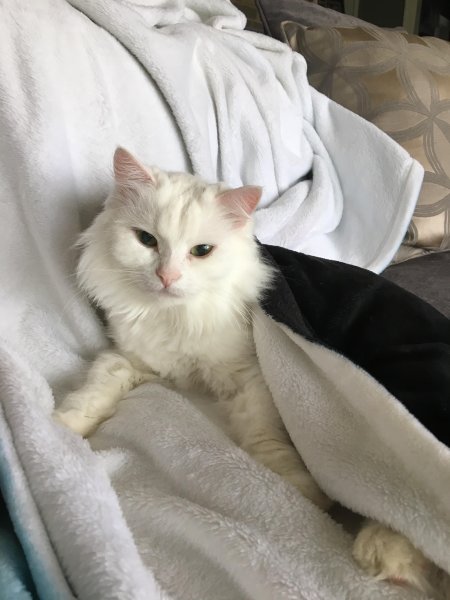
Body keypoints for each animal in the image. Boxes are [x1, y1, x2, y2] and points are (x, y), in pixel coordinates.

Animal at [54, 148, 440, 597]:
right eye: (146, 240)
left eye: (202, 250)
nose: (167, 277)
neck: (174, 317)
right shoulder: (129, 358)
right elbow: (96, 388)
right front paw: (65, 424)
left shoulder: (251, 376)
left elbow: (263, 436)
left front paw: (301, 491)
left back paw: (386, 556)